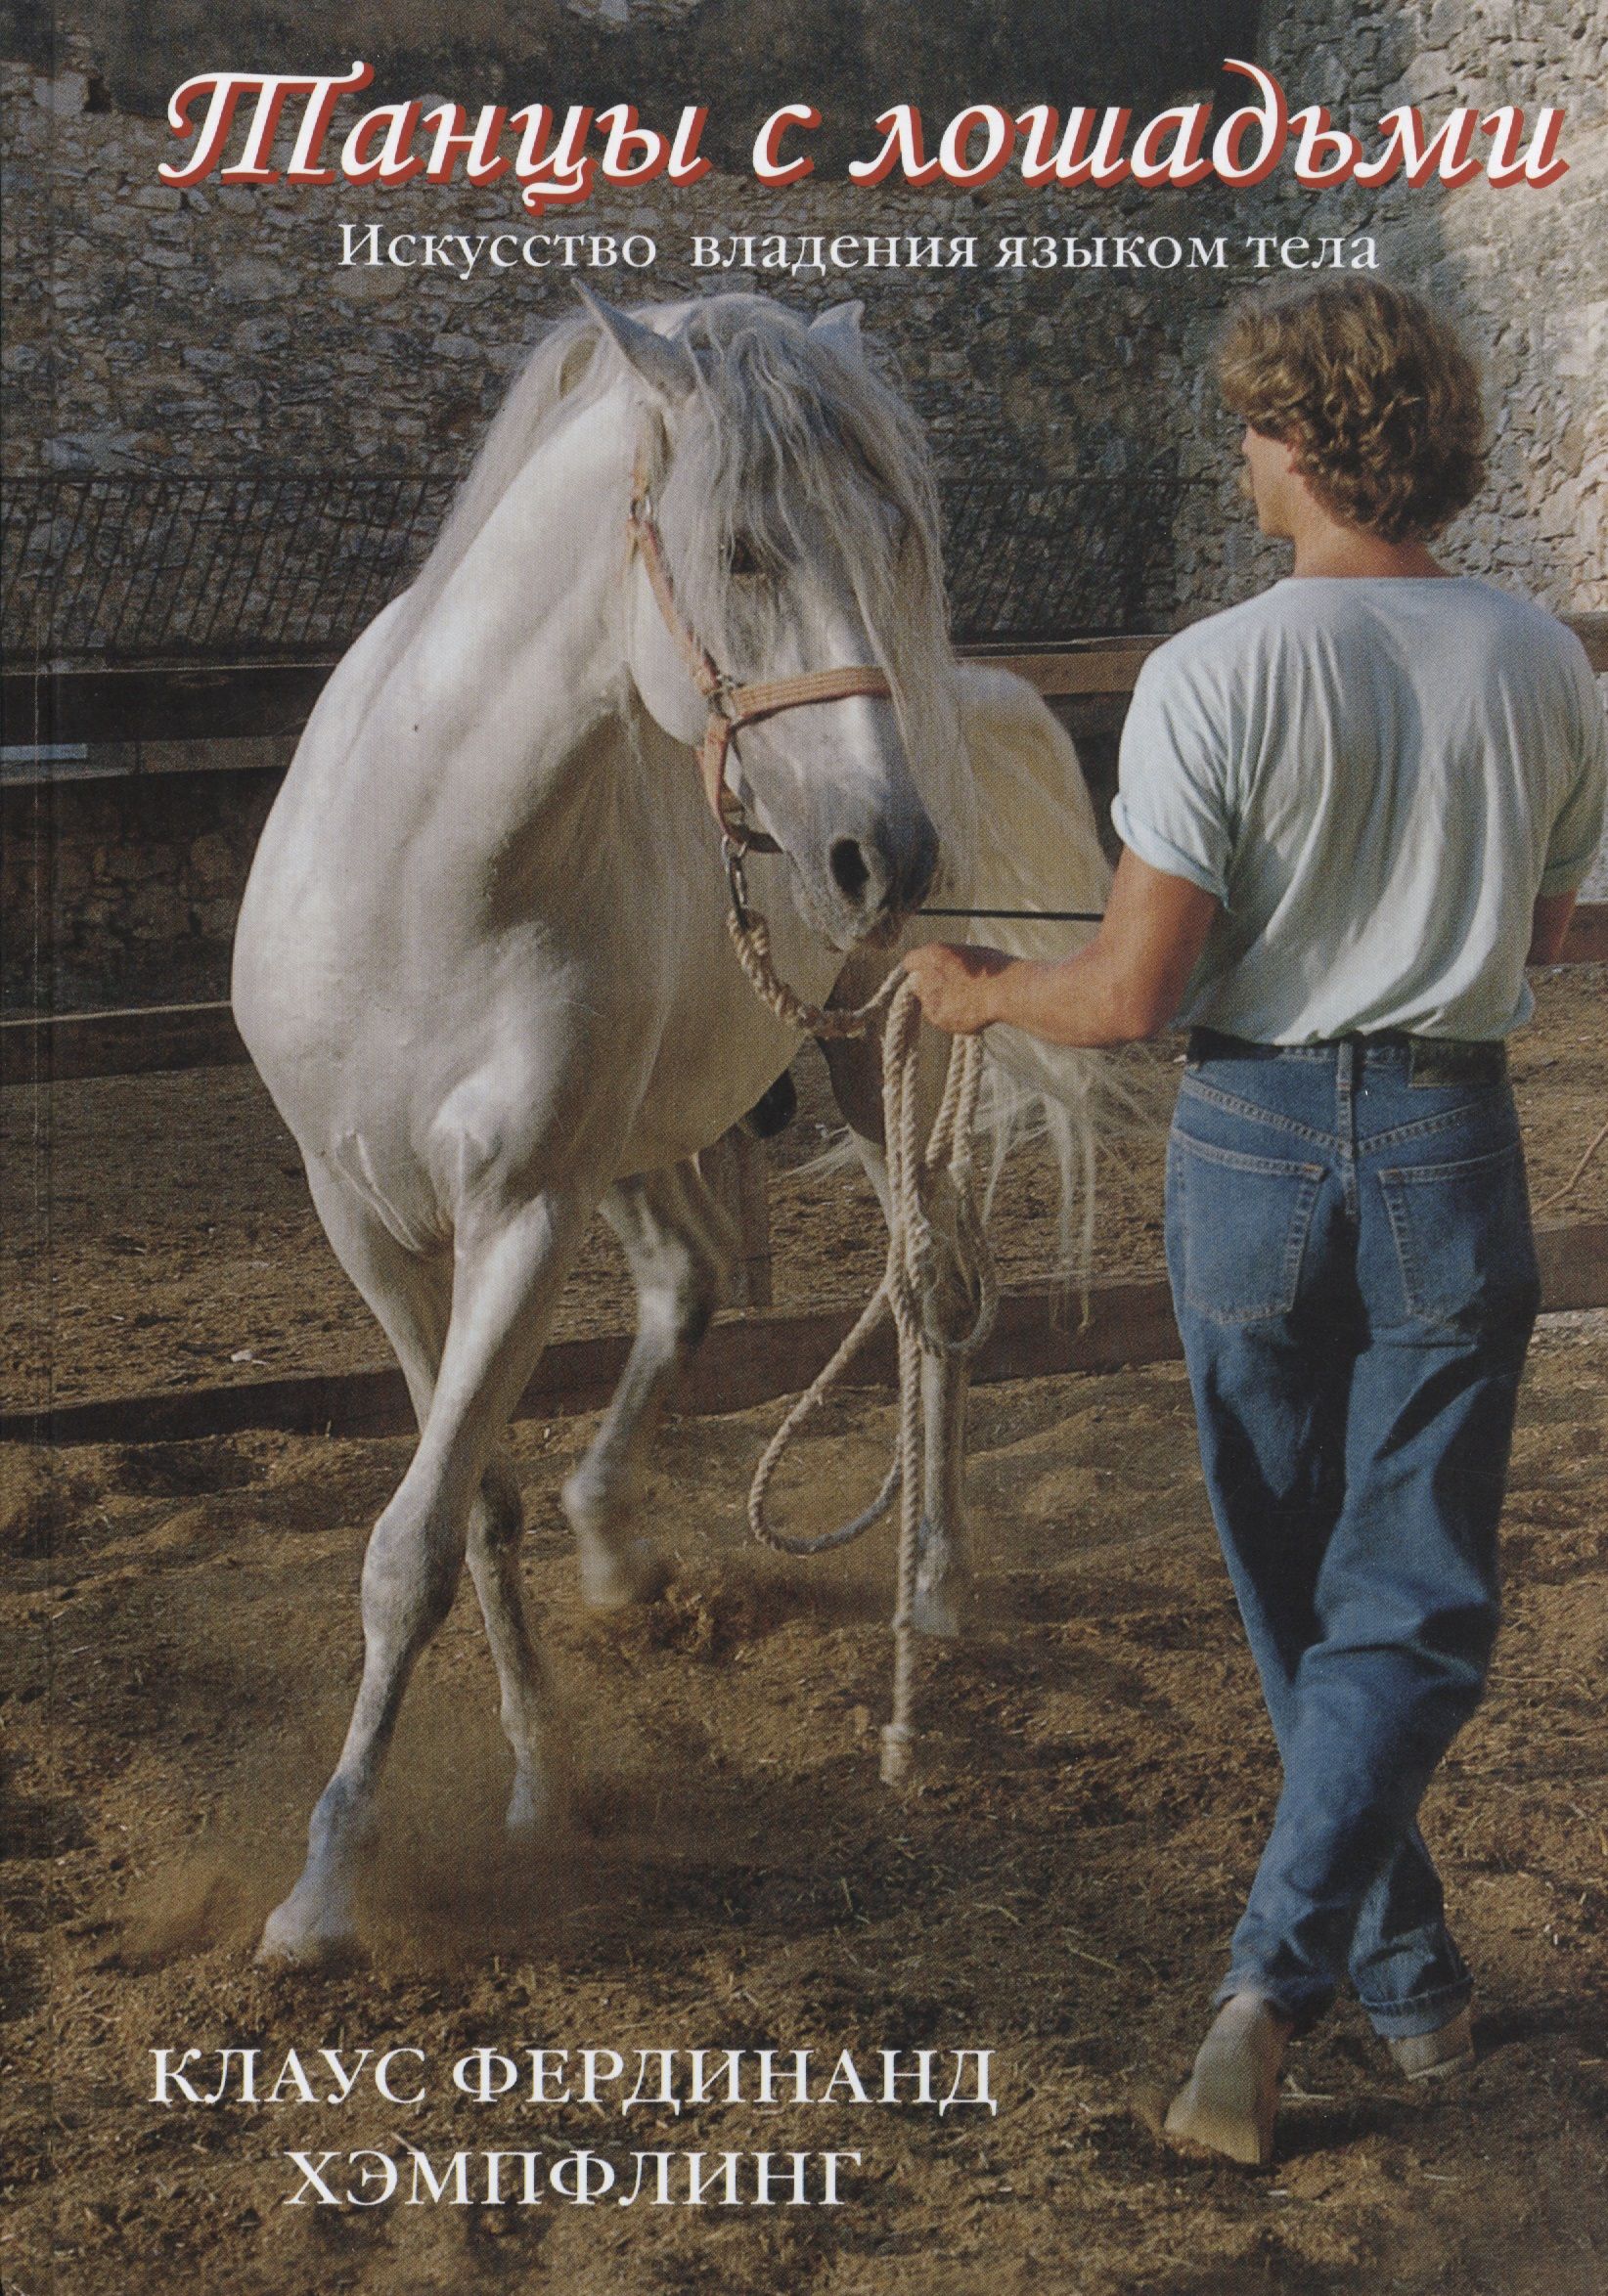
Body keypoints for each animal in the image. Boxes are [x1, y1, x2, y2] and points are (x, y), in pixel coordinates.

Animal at [232, 291, 1116, 1974]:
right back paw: (619, 1544)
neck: (424, 880)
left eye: (894, 541)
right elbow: (472, 1507)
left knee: (933, 1285)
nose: (883, 853)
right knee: (694, 1290)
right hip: (644, 1146)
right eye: (745, 551)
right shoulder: (368, 1225)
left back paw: (934, 1586)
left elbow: (410, 1547)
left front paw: (324, 1883)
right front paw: (537, 1773)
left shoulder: (522, 1216)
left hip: (868, 1060)